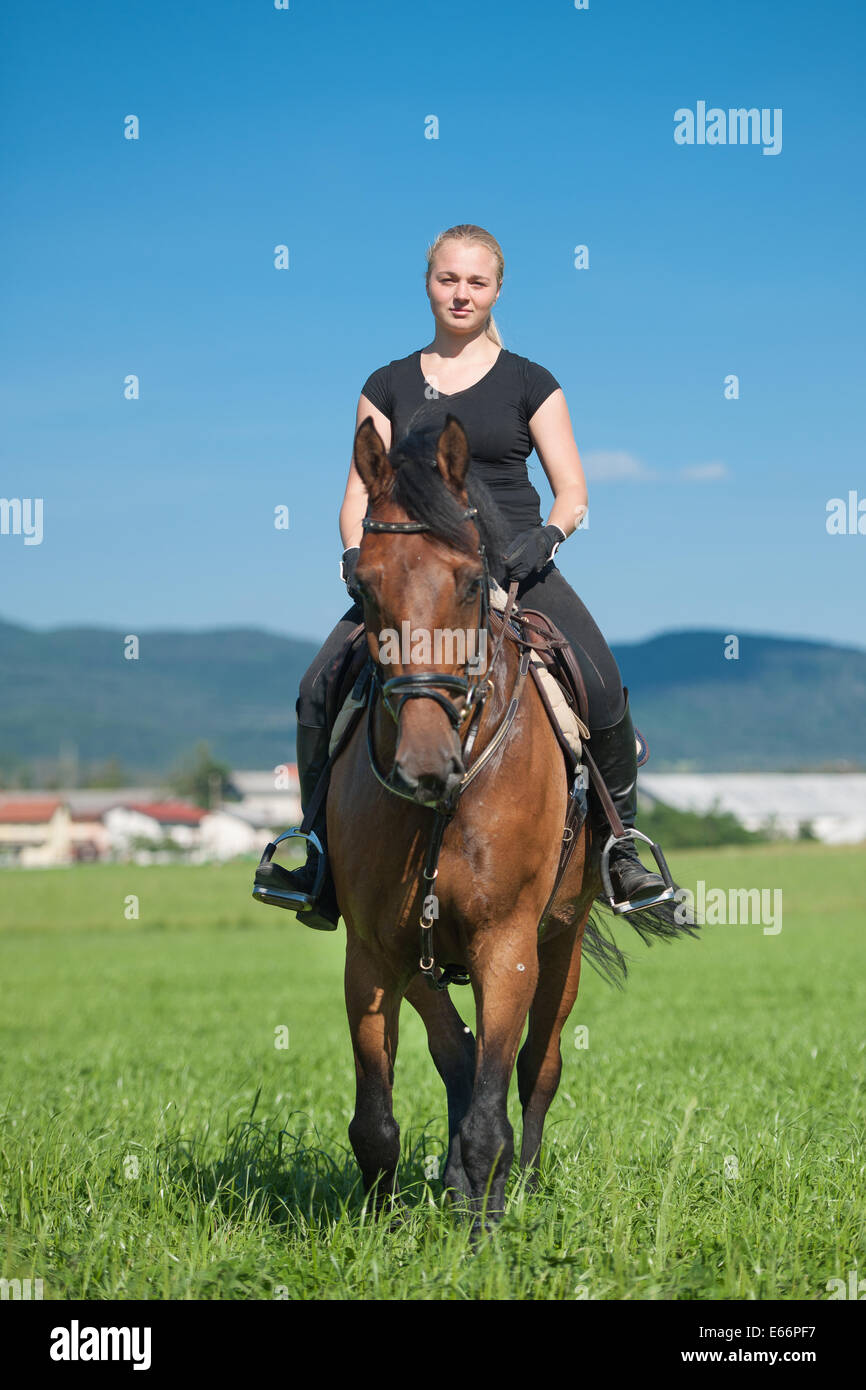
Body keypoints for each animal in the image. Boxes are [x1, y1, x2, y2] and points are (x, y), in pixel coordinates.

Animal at [328, 411, 695, 1228]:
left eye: (471, 582)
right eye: (363, 586)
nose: (424, 765)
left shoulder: (508, 946)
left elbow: (493, 1112)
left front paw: (486, 1232)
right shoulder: (374, 951)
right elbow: (378, 1119)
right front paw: (378, 1227)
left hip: (560, 940)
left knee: (537, 1066)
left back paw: (517, 1183)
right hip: (425, 957)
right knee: (457, 1056)